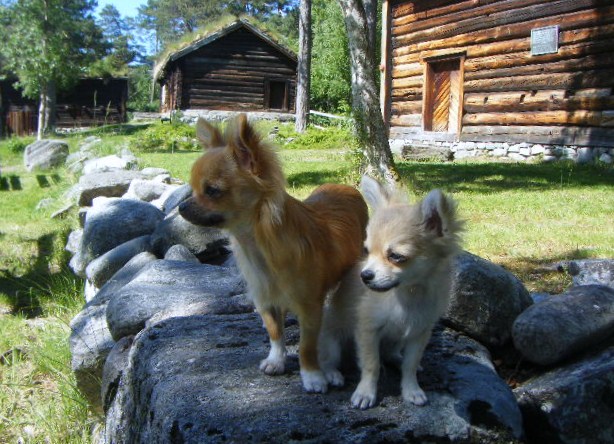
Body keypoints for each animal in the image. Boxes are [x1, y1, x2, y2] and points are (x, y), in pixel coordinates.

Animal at [180, 114, 368, 392]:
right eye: (191, 188)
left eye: (212, 190)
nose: (181, 207)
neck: (257, 244)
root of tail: (346, 187)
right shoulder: (265, 298)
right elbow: (275, 332)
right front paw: (276, 360)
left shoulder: (309, 308)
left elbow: (306, 346)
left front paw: (312, 375)